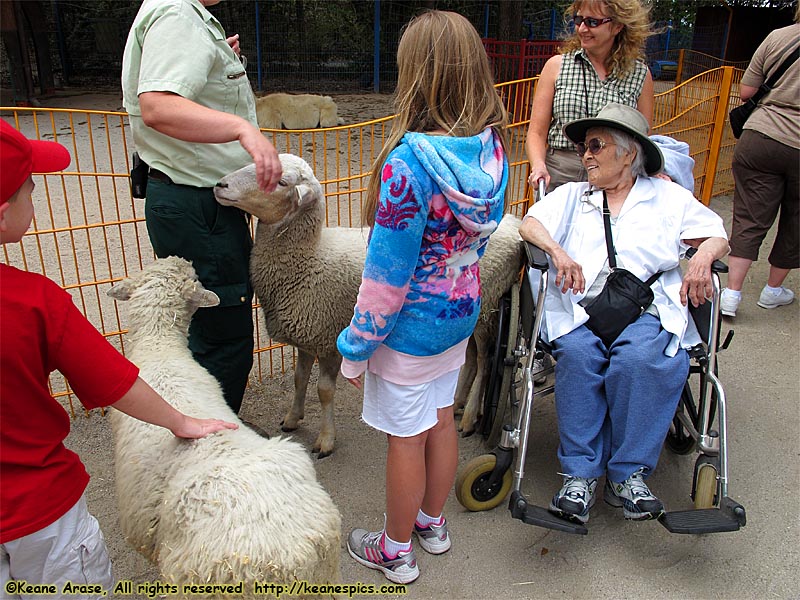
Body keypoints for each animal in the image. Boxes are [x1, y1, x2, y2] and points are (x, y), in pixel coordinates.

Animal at [212, 154, 524, 454]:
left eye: (281, 182)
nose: (220, 185)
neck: (309, 260)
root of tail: (515, 226)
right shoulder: (308, 335)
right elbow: (300, 380)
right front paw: (292, 418)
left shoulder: (329, 338)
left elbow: (324, 390)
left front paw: (326, 440)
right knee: (469, 359)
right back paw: (457, 404)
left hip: (486, 309)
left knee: (485, 362)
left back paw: (470, 416)